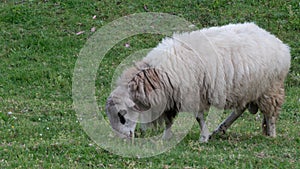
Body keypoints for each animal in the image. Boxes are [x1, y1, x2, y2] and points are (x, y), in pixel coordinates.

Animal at [105, 21, 290, 142]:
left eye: (122, 116)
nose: (122, 139)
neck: (153, 76)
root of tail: (281, 45)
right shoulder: (170, 97)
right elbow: (169, 120)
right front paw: (166, 137)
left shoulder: (191, 94)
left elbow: (198, 118)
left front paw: (203, 137)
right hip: (249, 88)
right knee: (241, 108)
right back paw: (221, 128)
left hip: (270, 88)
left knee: (270, 113)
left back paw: (271, 134)